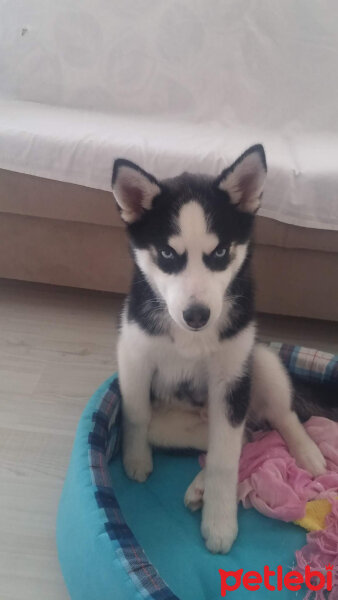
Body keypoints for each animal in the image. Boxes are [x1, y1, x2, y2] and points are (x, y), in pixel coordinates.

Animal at [113, 145, 328, 552]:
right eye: (167, 254)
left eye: (221, 252)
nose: (197, 316)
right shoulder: (134, 354)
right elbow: (136, 415)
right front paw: (135, 460)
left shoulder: (232, 379)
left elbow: (225, 460)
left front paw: (220, 523)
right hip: (183, 423)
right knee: (240, 438)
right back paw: (199, 485)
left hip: (258, 361)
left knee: (275, 419)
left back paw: (308, 452)